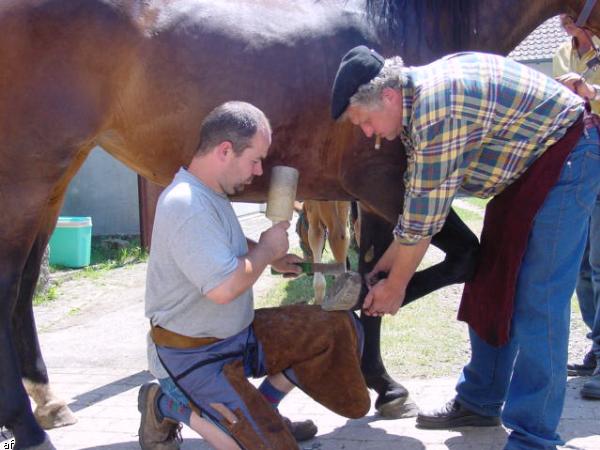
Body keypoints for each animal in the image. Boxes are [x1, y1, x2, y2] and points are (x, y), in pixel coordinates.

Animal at [1, 1, 600, 448]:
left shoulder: (376, 199)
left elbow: (380, 266)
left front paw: (377, 372)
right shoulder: (390, 185)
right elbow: (454, 259)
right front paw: (364, 330)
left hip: (53, 179)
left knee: (25, 288)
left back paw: (49, 404)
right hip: (30, 173)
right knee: (10, 288)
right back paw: (28, 428)